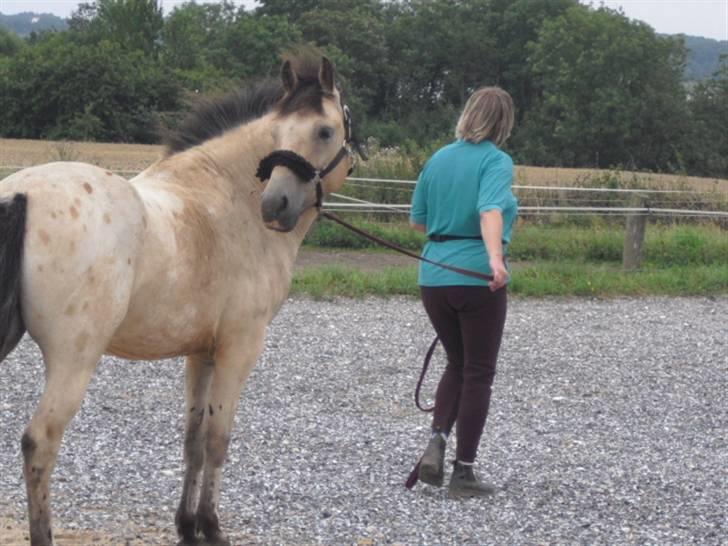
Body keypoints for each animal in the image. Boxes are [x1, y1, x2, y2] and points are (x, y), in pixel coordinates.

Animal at [0, 52, 356, 544]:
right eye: (277, 134)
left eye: (323, 130)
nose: (275, 205)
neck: (226, 202)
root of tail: (21, 193)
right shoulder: (238, 350)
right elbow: (218, 441)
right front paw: (211, 526)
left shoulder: (201, 352)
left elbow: (193, 439)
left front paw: (187, 526)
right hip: (74, 361)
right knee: (40, 442)